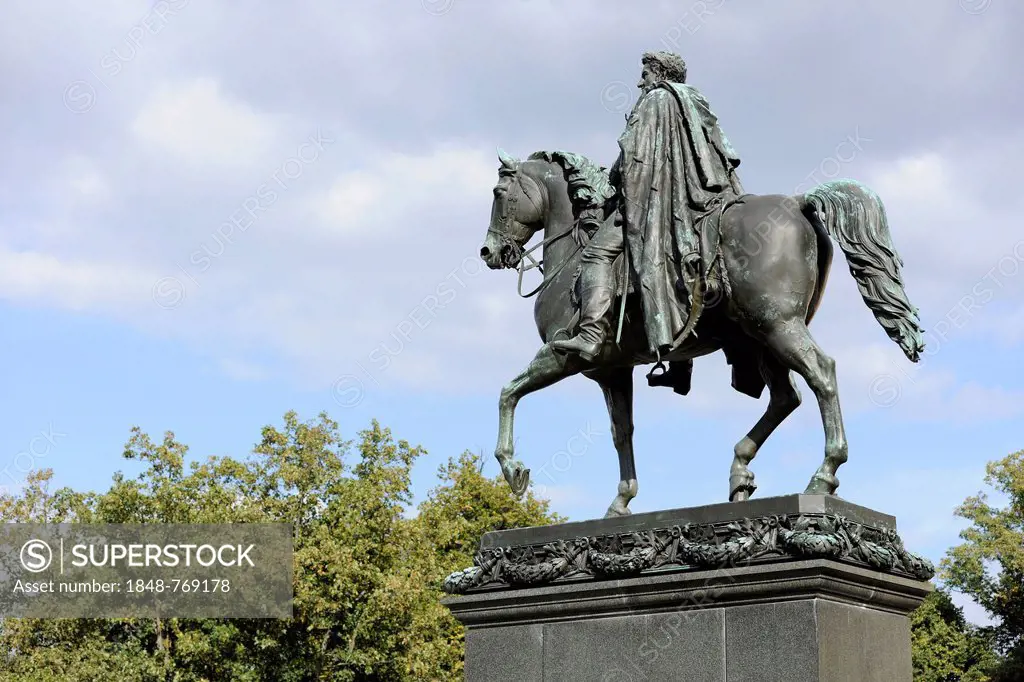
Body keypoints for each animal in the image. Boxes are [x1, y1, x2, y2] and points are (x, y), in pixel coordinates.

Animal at [475, 148, 925, 518]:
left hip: (778, 325)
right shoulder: (613, 371)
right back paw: (740, 472)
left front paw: (513, 469)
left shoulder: (563, 355)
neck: (575, 254)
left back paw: (823, 476)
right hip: (759, 338)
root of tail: (798, 203)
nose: (489, 252)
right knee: (786, 397)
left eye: (498, 192)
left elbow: (508, 392)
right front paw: (622, 501)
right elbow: (623, 432)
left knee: (822, 375)